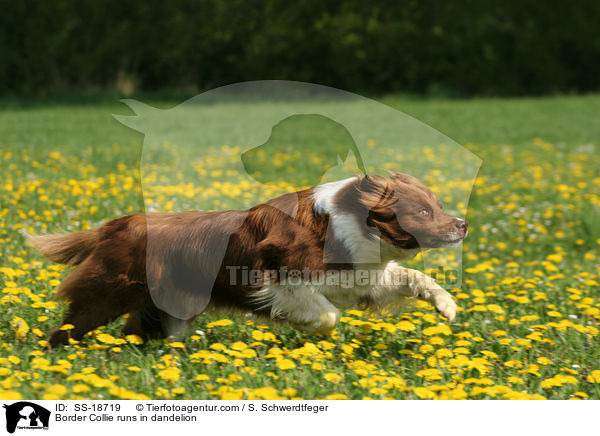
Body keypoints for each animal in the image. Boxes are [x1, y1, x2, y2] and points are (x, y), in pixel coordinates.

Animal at [30, 172, 466, 346]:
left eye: (437, 206)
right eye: (423, 212)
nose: (462, 225)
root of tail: (114, 226)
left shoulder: (361, 277)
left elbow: (411, 277)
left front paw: (447, 306)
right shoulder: (277, 277)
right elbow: (326, 313)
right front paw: (307, 326)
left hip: (166, 305)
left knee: (140, 331)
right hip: (107, 294)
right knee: (65, 329)